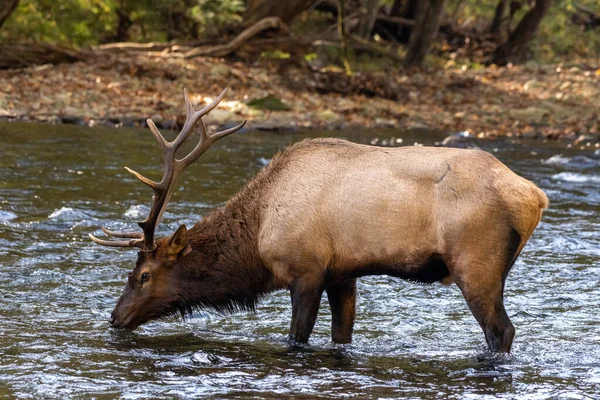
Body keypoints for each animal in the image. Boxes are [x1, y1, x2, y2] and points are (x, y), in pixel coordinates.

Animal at [90, 87, 548, 354]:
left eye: (144, 275)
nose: (115, 318)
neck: (257, 236)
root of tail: (535, 196)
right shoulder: (342, 273)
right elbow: (341, 336)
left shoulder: (305, 269)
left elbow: (297, 337)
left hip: (476, 262)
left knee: (501, 331)